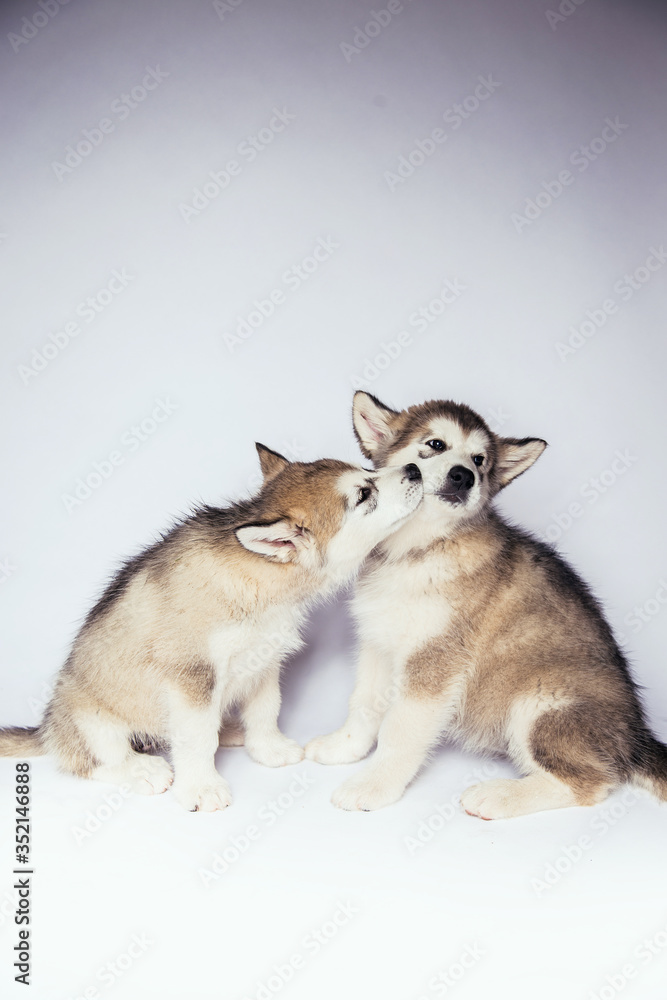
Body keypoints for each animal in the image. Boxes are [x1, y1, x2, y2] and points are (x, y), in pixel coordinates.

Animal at [0, 446, 422, 812]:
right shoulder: (192, 675)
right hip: (90, 720)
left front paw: (267, 748)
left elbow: (266, 709)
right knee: (90, 761)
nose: (416, 469)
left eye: (367, 471)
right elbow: (196, 738)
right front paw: (202, 788)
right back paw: (142, 769)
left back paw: (230, 730)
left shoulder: (265, 659)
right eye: (364, 495)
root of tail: (45, 728)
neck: (258, 577)